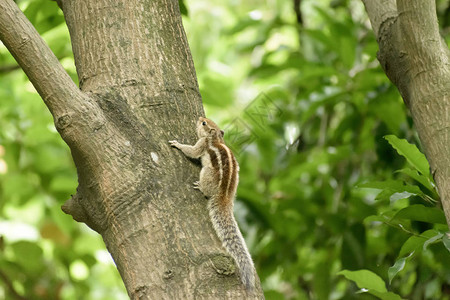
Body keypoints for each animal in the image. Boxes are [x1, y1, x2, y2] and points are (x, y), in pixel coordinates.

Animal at [169, 116, 255, 288]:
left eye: (204, 123)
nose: (200, 118)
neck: (215, 139)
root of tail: (225, 197)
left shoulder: (202, 144)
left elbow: (192, 151)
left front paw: (177, 144)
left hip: (207, 172)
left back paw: (201, 187)